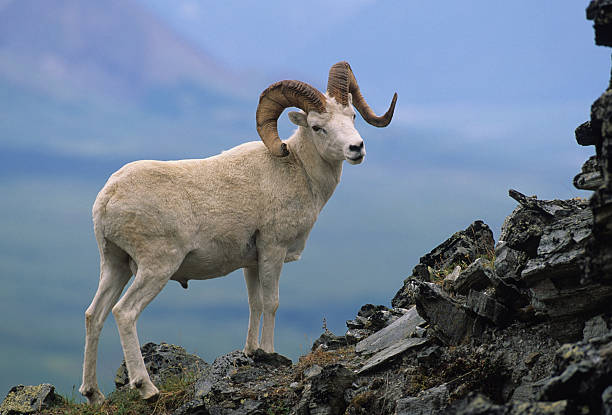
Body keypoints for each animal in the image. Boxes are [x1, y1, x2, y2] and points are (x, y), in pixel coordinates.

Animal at [79, 62, 394, 406]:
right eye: (317, 127)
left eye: (351, 117)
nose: (356, 148)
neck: (298, 171)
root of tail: (108, 197)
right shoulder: (273, 250)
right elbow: (271, 303)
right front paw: (269, 352)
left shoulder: (251, 262)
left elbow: (254, 303)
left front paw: (252, 352)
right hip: (156, 268)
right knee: (124, 313)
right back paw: (146, 388)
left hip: (115, 265)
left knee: (94, 315)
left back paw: (94, 395)